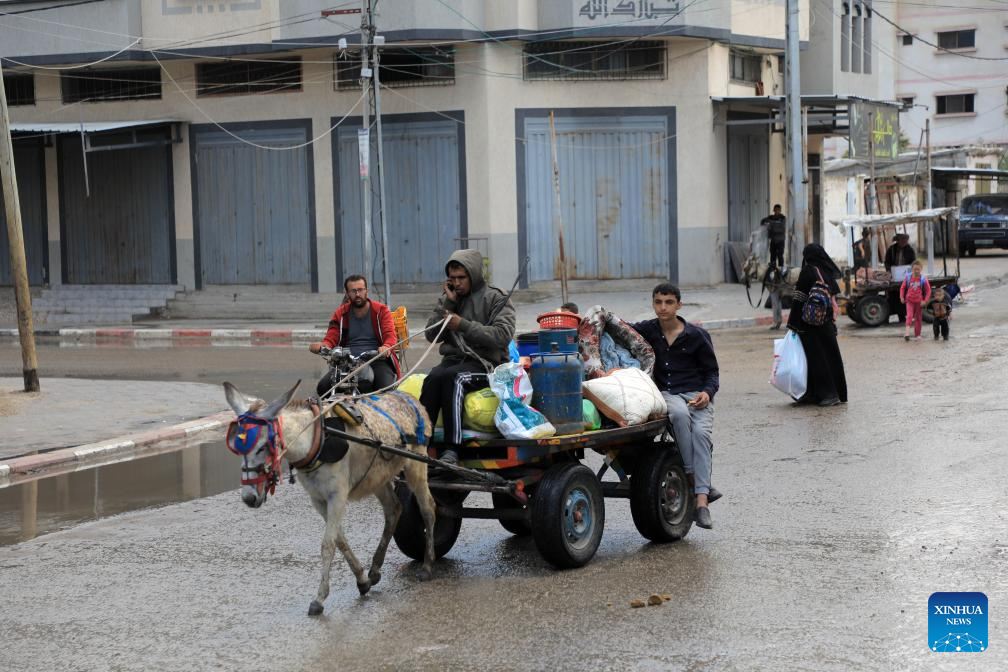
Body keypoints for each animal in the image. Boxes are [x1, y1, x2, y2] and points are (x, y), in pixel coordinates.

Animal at [223, 380, 437, 616]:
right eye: (239, 449)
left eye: (262, 447)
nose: (248, 498)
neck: (315, 441)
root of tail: (409, 397)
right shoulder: (318, 499)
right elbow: (340, 539)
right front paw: (362, 580)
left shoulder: (338, 495)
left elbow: (328, 544)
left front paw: (319, 598)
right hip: (377, 476)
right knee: (393, 509)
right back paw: (375, 569)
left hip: (416, 463)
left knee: (428, 508)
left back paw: (427, 565)